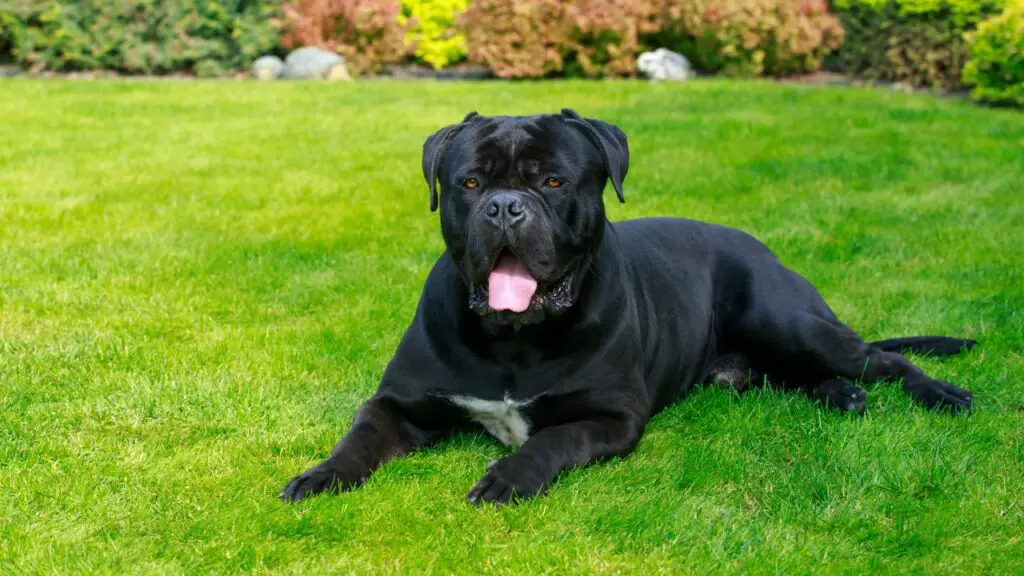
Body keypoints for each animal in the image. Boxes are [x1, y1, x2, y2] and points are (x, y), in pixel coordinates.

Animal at [280, 108, 974, 502]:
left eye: (553, 180)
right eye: (470, 182)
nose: (505, 207)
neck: (513, 340)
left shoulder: (611, 416)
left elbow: (550, 442)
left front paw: (509, 477)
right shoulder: (399, 403)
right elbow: (360, 436)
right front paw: (320, 474)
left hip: (785, 320)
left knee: (881, 360)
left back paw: (942, 394)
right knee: (804, 376)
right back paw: (843, 397)